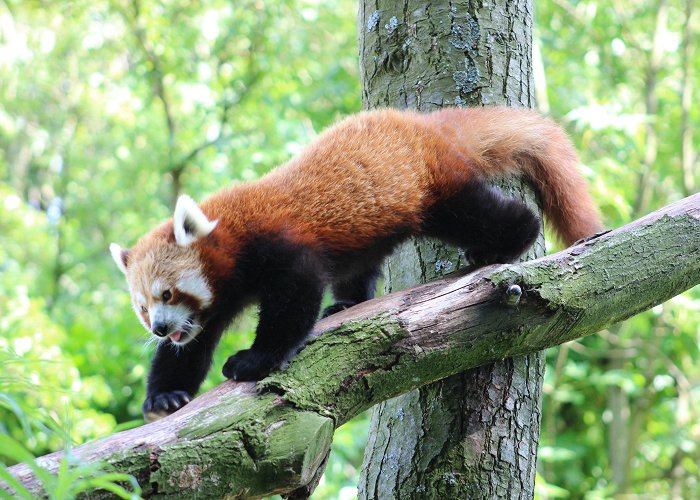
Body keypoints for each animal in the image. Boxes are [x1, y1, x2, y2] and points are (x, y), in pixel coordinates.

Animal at [109, 107, 600, 420]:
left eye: (167, 292)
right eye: (143, 308)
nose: (158, 328)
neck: (232, 237)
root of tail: (424, 123)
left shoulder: (280, 245)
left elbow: (293, 301)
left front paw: (255, 359)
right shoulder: (213, 303)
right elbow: (191, 346)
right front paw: (166, 396)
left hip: (431, 188)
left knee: (481, 214)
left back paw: (509, 241)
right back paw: (348, 303)